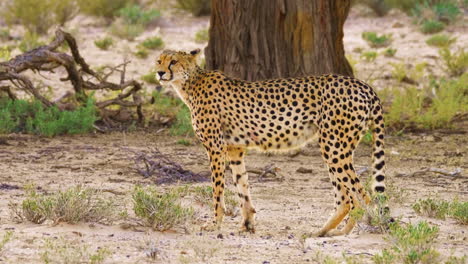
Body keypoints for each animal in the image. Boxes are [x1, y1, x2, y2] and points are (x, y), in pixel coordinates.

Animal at [155, 49, 386, 237]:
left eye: (173, 61)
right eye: (159, 61)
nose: (159, 73)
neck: (190, 83)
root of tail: (362, 84)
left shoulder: (215, 148)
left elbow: (217, 190)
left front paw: (214, 223)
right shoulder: (235, 149)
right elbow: (242, 186)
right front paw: (247, 224)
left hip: (334, 148)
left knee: (361, 196)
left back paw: (355, 231)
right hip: (336, 148)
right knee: (347, 198)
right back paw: (326, 231)